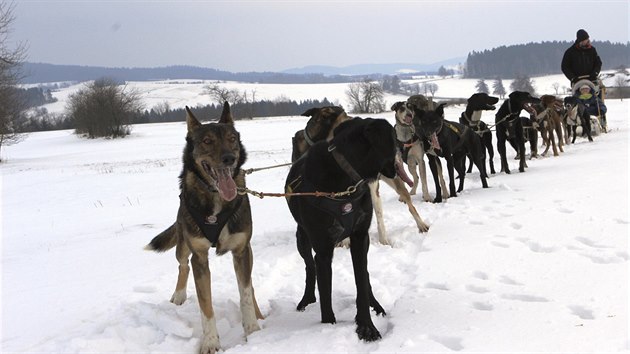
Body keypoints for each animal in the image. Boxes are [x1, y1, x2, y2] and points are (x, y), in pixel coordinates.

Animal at [286, 117, 404, 342]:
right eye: (394, 139)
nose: (402, 153)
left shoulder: (360, 238)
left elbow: (362, 282)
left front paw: (366, 326)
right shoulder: (323, 249)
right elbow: (325, 294)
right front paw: (329, 326)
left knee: (365, 275)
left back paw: (376, 305)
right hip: (302, 238)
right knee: (309, 267)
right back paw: (306, 299)